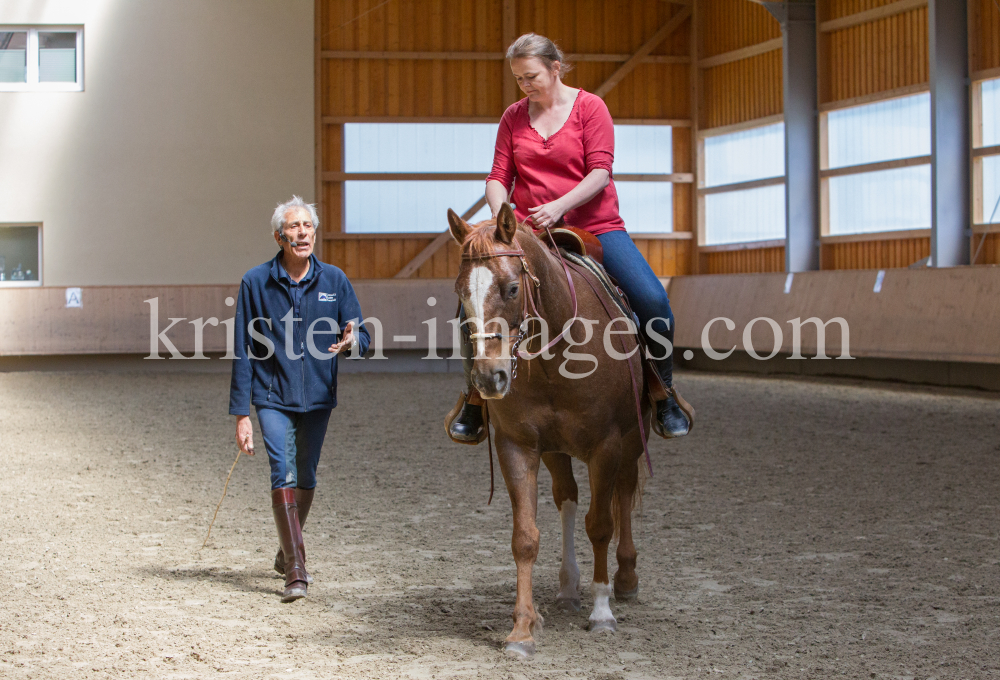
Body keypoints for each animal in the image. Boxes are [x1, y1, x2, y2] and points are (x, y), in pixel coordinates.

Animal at [450, 203, 652, 660]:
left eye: (511, 289)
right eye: (461, 293)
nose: (489, 378)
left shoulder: (607, 445)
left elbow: (601, 524)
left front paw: (601, 613)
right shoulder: (517, 445)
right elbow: (525, 537)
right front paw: (522, 630)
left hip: (632, 439)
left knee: (623, 493)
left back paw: (626, 579)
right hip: (557, 450)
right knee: (568, 499)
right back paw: (567, 587)